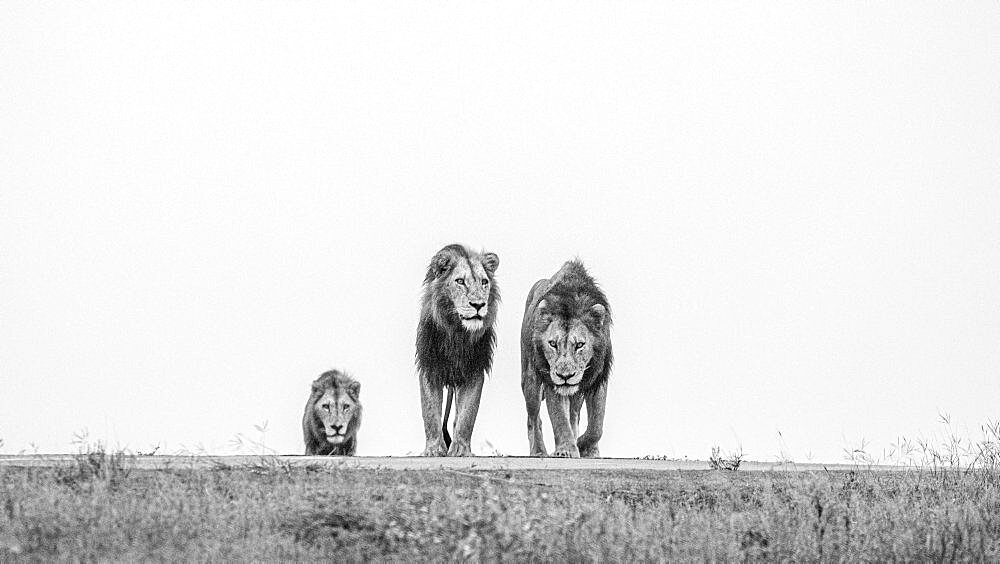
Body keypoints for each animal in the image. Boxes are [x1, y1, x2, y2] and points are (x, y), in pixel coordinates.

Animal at [414, 245, 500, 456]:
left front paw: (460, 449)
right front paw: (434, 449)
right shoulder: (429, 368)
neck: (457, 331)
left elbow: (467, 415)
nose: (478, 305)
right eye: (460, 281)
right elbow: (430, 413)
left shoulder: (475, 370)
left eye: (484, 282)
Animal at [520, 260, 612, 458]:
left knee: (574, 415)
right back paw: (539, 451)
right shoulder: (551, 379)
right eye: (553, 343)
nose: (565, 376)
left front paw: (585, 447)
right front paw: (567, 450)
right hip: (530, 380)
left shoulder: (599, 378)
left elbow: (596, 426)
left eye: (580, 344)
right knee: (534, 419)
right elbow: (559, 418)